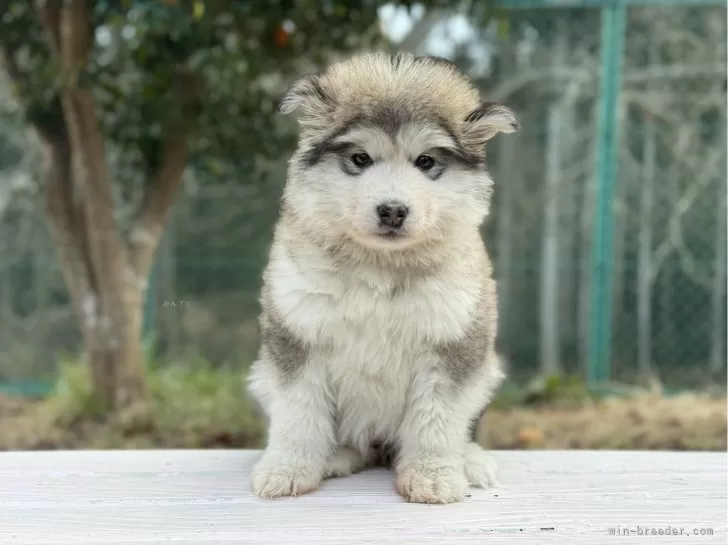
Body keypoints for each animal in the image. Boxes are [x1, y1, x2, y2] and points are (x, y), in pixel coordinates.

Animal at [249, 51, 516, 502]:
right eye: (360, 159)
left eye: (425, 162)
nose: (392, 210)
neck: (380, 265)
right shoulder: (297, 335)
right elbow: (299, 414)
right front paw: (288, 469)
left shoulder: (452, 343)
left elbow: (437, 419)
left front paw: (433, 475)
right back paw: (336, 456)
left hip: (485, 373)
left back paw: (469, 461)